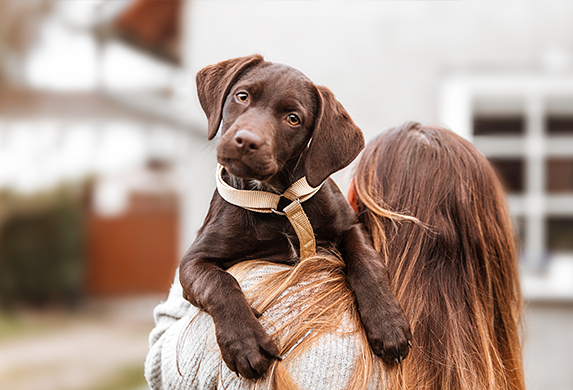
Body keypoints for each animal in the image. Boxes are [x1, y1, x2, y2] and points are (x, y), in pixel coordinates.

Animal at [181, 55, 408, 380]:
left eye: (293, 119)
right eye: (242, 97)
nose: (246, 141)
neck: (278, 200)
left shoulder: (350, 226)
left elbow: (365, 261)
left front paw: (387, 322)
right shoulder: (194, 259)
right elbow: (220, 283)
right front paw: (245, 342)